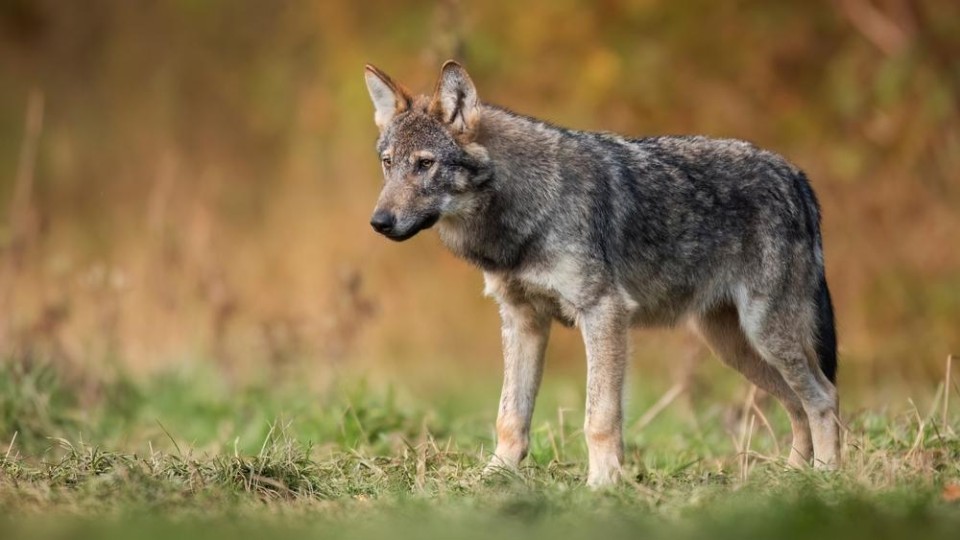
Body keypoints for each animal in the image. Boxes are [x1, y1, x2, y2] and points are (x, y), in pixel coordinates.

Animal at [363, 60, 839, 487]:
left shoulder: (604, 313)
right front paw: (491, 478)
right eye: (388, 163)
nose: (379, 222)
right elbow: (509, 417)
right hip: (735, 348)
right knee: (797, 405)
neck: (525, 211)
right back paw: (792, 478)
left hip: (766, 336)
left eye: (424, 164)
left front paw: (602, 485)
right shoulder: (522, 321)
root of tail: (795, 175)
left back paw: (825, 477)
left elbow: (600, 418)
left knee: (823, 397)